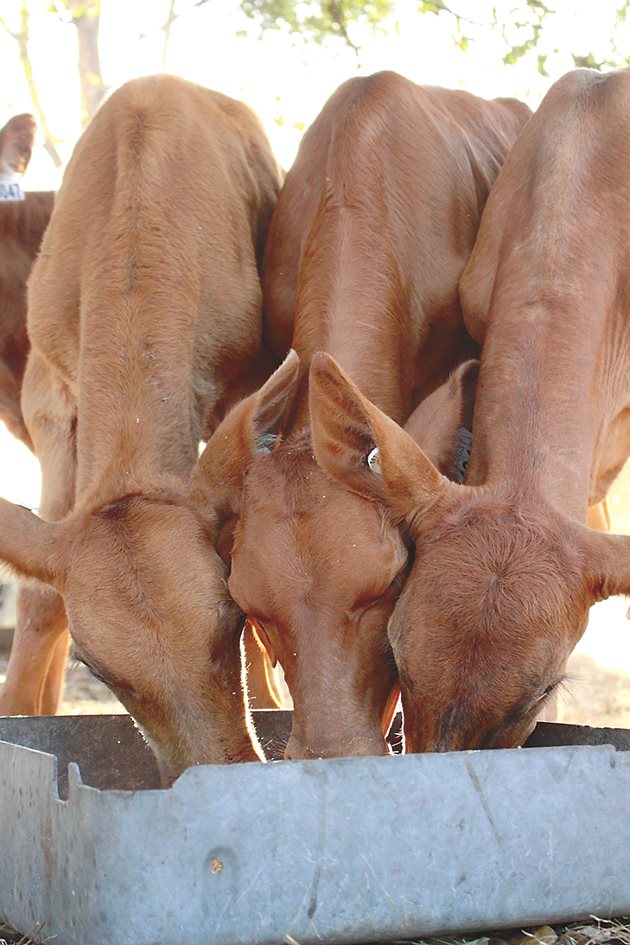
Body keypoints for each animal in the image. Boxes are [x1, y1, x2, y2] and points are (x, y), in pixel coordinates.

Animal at [0, 75, 284, 780]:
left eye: (232, 620)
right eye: (98, 671)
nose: (218, 772)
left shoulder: (243, 380)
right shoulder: (50, 396)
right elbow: (41, 596)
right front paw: (19, 718)